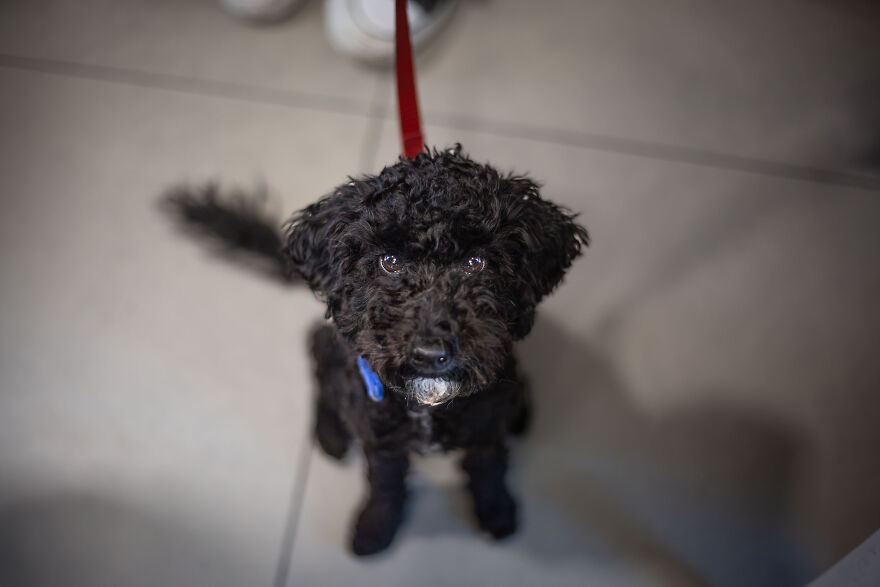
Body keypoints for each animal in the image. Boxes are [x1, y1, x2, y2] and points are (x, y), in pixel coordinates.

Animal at [167, 146, 592, 556]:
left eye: (476, 262)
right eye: (389, 262)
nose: (430, 354)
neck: (427, 408)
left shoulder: (485, 433)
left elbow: (489, 473)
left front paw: (497, 515)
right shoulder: (381, 444)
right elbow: (384, 489)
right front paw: (374, 530)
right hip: (336, 353)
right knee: (318, 363)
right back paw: (330, 434)